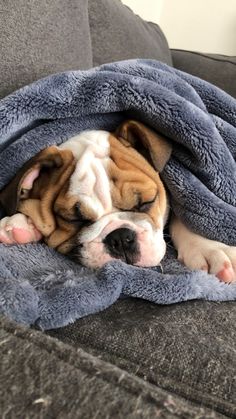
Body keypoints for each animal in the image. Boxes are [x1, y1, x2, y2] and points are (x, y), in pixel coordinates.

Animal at [0, 121, 236, 286]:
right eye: (74, 219)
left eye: (147, 202)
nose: (120, 237)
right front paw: (19, 224)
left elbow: (186, 215)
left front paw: (210, 249)